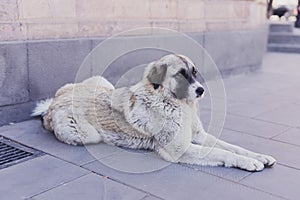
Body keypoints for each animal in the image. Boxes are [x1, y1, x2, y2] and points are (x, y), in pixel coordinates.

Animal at [31, 54, 276, 172]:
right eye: (181, 74)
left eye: (194, 72)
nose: (201, 90)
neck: (176, 103)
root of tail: (53, 103)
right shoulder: (180, 149)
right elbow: (220, 152)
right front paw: (247, 162)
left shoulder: (200, 136)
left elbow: (231, 146)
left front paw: (258, 156)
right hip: (87, 135)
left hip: (102, 82)